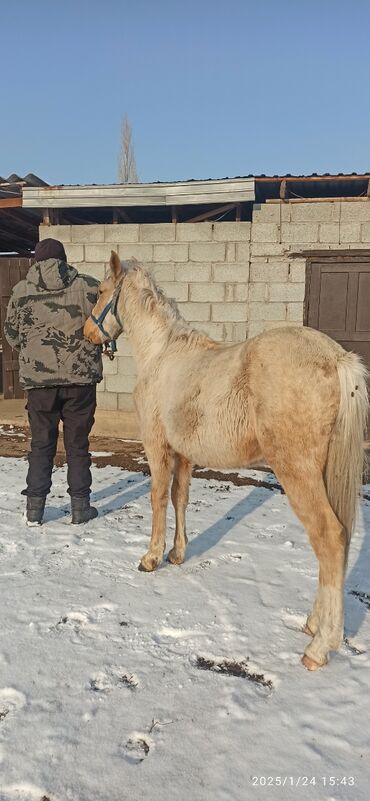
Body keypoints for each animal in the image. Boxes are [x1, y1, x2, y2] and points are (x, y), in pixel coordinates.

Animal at [84, 252, 368, 668]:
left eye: (102, 291)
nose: (88, 333)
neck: (162, 354)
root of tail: (336, 358)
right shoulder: (184, 454)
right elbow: (180, 499)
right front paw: (176, 554)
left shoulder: (157, 446)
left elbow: (157, 498)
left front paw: (151, 558)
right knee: (341, 540)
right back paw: (314, 625)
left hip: (298, 473)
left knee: (329, 538)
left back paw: (319, 647)